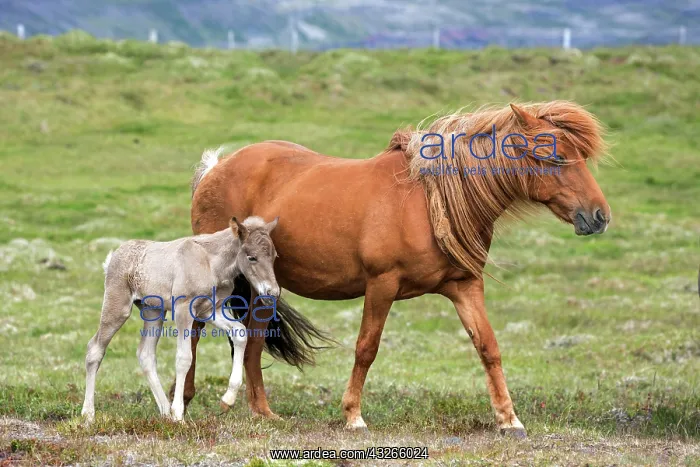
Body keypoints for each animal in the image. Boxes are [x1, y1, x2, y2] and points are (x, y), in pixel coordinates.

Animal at [81, 216, 281, 422]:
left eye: (274, 257)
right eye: (252, 257)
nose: (272, 292)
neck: (211, 263)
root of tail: (113, 257)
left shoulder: (210, 310)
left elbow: (240, 332)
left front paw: (227, 399)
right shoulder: (183, 309)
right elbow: (184, 358)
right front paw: (178, 415)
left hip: (153, 311)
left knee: (145, 354)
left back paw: (165, 412)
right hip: (118, 306)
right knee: (95, 348)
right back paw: (88, 415)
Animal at [179, 101, 611, 437]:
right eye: (555, 157)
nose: (599, 216)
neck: (430, 202)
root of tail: (216, 168)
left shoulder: (465, 286)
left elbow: (488, 347)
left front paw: (509, 420)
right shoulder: (382, 286)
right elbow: (366, 348)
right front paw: (353, 416)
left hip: (263, 288)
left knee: (252, 342)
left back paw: (263, 413)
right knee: (197, 333)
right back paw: (183, 401)